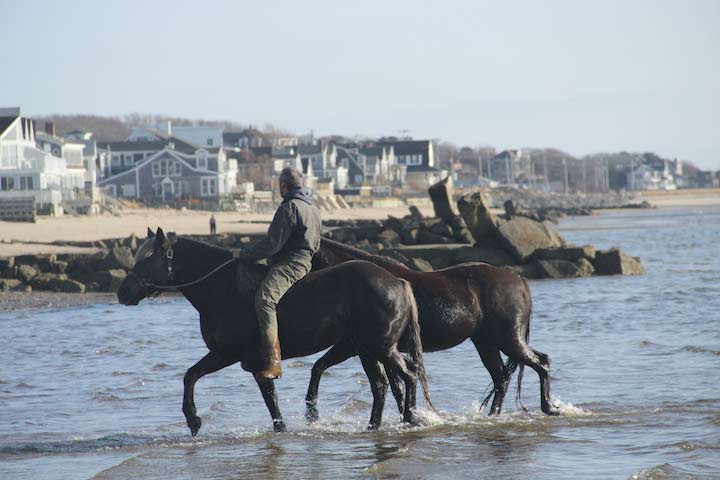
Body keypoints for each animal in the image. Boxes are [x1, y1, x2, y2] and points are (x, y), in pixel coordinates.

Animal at [118, 229, 434, 436]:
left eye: (149, 258)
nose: (124, 292)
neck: (222, 288)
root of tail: (398, 282)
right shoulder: (253, 362)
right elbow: (270, 400)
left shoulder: (228, 353)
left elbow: (191, 376)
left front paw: (193, 420)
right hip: (365, 349)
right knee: (381, 385)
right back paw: (374, 426)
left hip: (379, 347)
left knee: (407, 375)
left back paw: (410, 418)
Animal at [306, 238, 560, 418]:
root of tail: (520, 281)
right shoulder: (367, 347)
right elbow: (396, 386)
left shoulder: (355, 345)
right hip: (486, 342)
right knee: (502, 377)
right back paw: (493, 415)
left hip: (508, 338)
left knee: (540, 362)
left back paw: (548, 407)